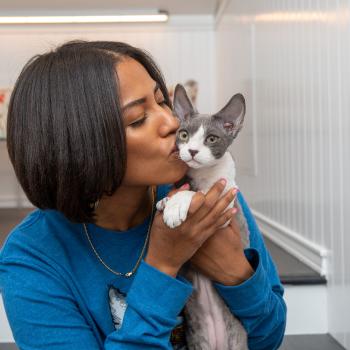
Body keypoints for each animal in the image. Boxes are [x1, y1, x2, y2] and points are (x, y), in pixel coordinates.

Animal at [157, 85, 250, 350]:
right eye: (184, 135)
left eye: (212, 139)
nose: (192, 151)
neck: (203, 176)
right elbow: (186, 188)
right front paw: (167, 201)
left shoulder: (227, 208)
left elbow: (199, 194)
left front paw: (178, 204)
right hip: (198, 338)